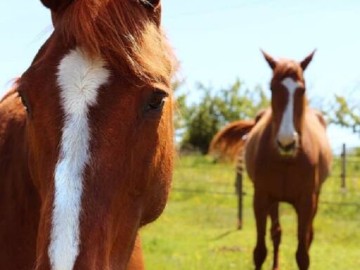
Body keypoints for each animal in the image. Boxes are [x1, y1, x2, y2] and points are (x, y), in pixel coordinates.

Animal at [211, 51, 332, 268]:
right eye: (272, 88)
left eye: (302, 89)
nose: (286, 142)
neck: (286, 159)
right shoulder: (261, 198)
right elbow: (260, 251)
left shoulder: (307, 201)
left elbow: (303, 254)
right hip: (274, 201)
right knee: (276, 233)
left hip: (315, 197)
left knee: (307, 235)